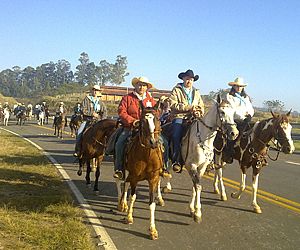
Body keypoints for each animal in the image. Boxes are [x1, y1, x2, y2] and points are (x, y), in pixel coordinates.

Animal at [116, 101, 165, 240]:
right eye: (143, 121)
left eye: (157, 119)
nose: (153, 142)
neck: (147, 155)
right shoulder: (135, 178)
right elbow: (133, 197)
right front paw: (129, 217)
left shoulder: (153, 179)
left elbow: (152, 203)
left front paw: (153, 230)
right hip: (123, 169)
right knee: (120, 182)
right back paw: (121, 204)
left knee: (125, 184)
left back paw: (123, 204)